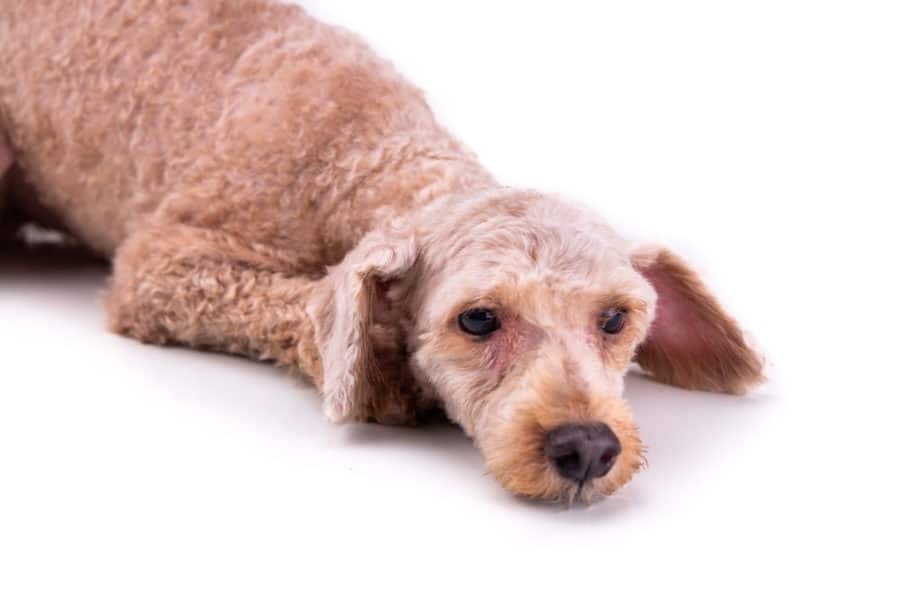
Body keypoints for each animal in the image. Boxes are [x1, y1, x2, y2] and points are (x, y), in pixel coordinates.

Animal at [0, 0, 760, 500]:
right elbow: (286, 302)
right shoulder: (161, 264)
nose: (589, 447)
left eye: (615, 320)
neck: (358, 153)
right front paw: (382, 374)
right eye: (478, 319)